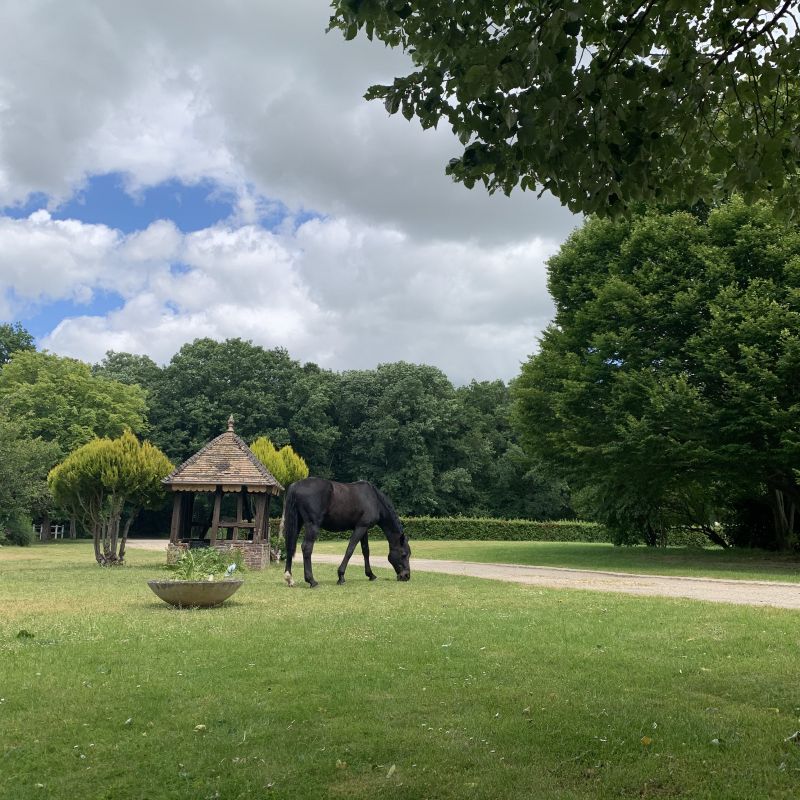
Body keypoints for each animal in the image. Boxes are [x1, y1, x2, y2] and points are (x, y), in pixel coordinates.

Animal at [282, 476, 412, 588]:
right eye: (404, 554)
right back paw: (312, 581)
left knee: (290, 546)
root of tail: (295, 486)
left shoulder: (364, 529)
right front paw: (341, 576)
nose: (406, 576)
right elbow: (350, 549)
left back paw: (289, 578)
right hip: (312, 525)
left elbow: (366, 551)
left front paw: (371, 575)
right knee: (307, 548)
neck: (374, 499)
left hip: (297, 523)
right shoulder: (360, 527)